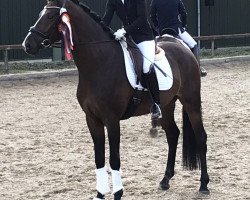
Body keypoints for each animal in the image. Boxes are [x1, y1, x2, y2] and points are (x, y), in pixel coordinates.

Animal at [22, 0, 209, 199]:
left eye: (50, 16)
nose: (27, 44)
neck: (99, 64)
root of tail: (183, 48)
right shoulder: (92, 119)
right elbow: (99, 158)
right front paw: (99, 193)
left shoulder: (111, 120)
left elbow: (114, 159)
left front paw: (118, 193)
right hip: (167, 105)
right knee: (173, 135)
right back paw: (165, 180)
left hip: (191, 101)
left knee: (201, 137)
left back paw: (204, 184)